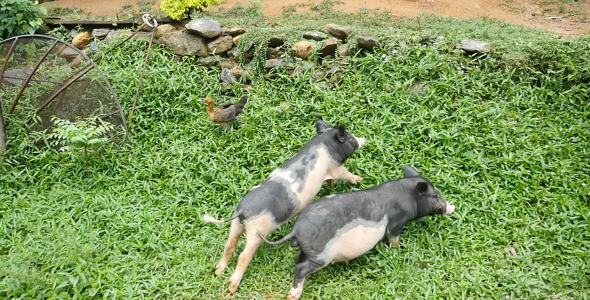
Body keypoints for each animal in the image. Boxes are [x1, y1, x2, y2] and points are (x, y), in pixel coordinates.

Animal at [206, 120, 368, 296]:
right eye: (350, 138)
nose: (363, 139)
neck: (325, 144)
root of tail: (242, 211)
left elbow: (330, 182)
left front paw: (331, 188)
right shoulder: (336, 168)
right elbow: (346, 175)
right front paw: (360, 179)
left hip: (236, 225)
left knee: (229, 245)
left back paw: (217, 271)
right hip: (256, 232)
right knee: (243, 255)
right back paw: (231, 288)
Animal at [260, 166, 458, 300]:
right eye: (435, 196)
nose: (452, 207)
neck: (407, 195)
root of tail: (296, 229)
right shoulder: (396, 222)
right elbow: (393, 236)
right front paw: (396, 249)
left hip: (308, 250)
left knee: (297, 260)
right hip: (321, 254)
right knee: (300, 268)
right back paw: (292, 295)